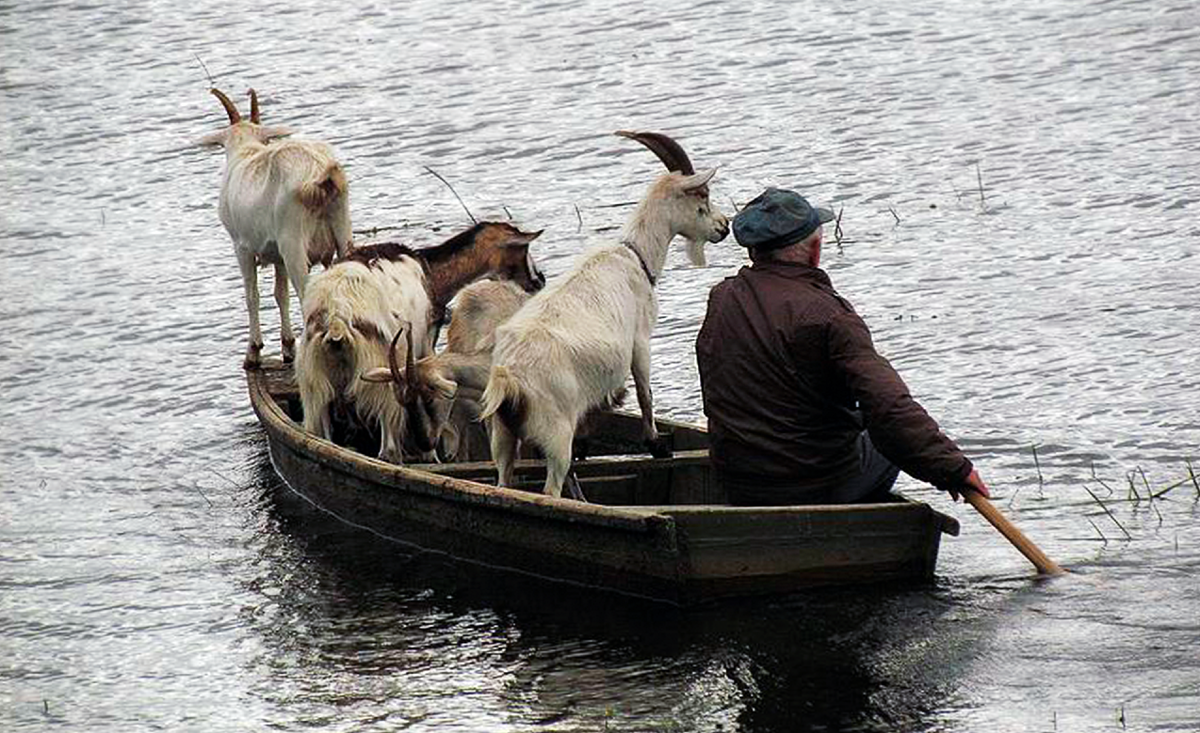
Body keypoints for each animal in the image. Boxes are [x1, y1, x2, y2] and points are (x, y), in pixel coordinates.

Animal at [200, 88, 350, 369]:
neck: (246, 150)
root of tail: (319, 173)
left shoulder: (241, 247)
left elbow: (252, 295)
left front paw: (253, 352)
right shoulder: (277, 254)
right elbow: (280, 294)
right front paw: (287, 346)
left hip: (293, 242)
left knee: (306, 295)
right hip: (342, 229)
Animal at [295, 223, 544, 465]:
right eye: (523, 249)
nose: (539, 280)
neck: (431, 273)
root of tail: (336, 314)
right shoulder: (423, 343)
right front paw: (430, 454)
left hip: (313, 375)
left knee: (321, 434)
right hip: (378, 364)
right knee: (387, 447)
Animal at [480, 131, 729, 499]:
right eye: (703, 195)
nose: (723, 227)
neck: (635, 256)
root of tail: (508, 380)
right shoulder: (640, 339)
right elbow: (644, 391)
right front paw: (656, 444)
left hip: (502, 434)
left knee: (504, 480)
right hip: (555, 430)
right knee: (551, 488)